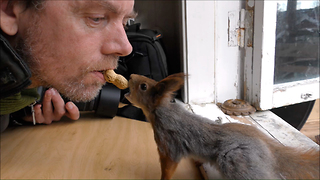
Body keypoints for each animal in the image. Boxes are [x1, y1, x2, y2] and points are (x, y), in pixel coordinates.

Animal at [125, 73, 320, 180]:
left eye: (143, 86)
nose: (131, 76)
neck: (160, 111)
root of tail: (270, 151)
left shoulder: (168, 142)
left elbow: (169, 166)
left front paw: (162, 178)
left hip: (238, 162)